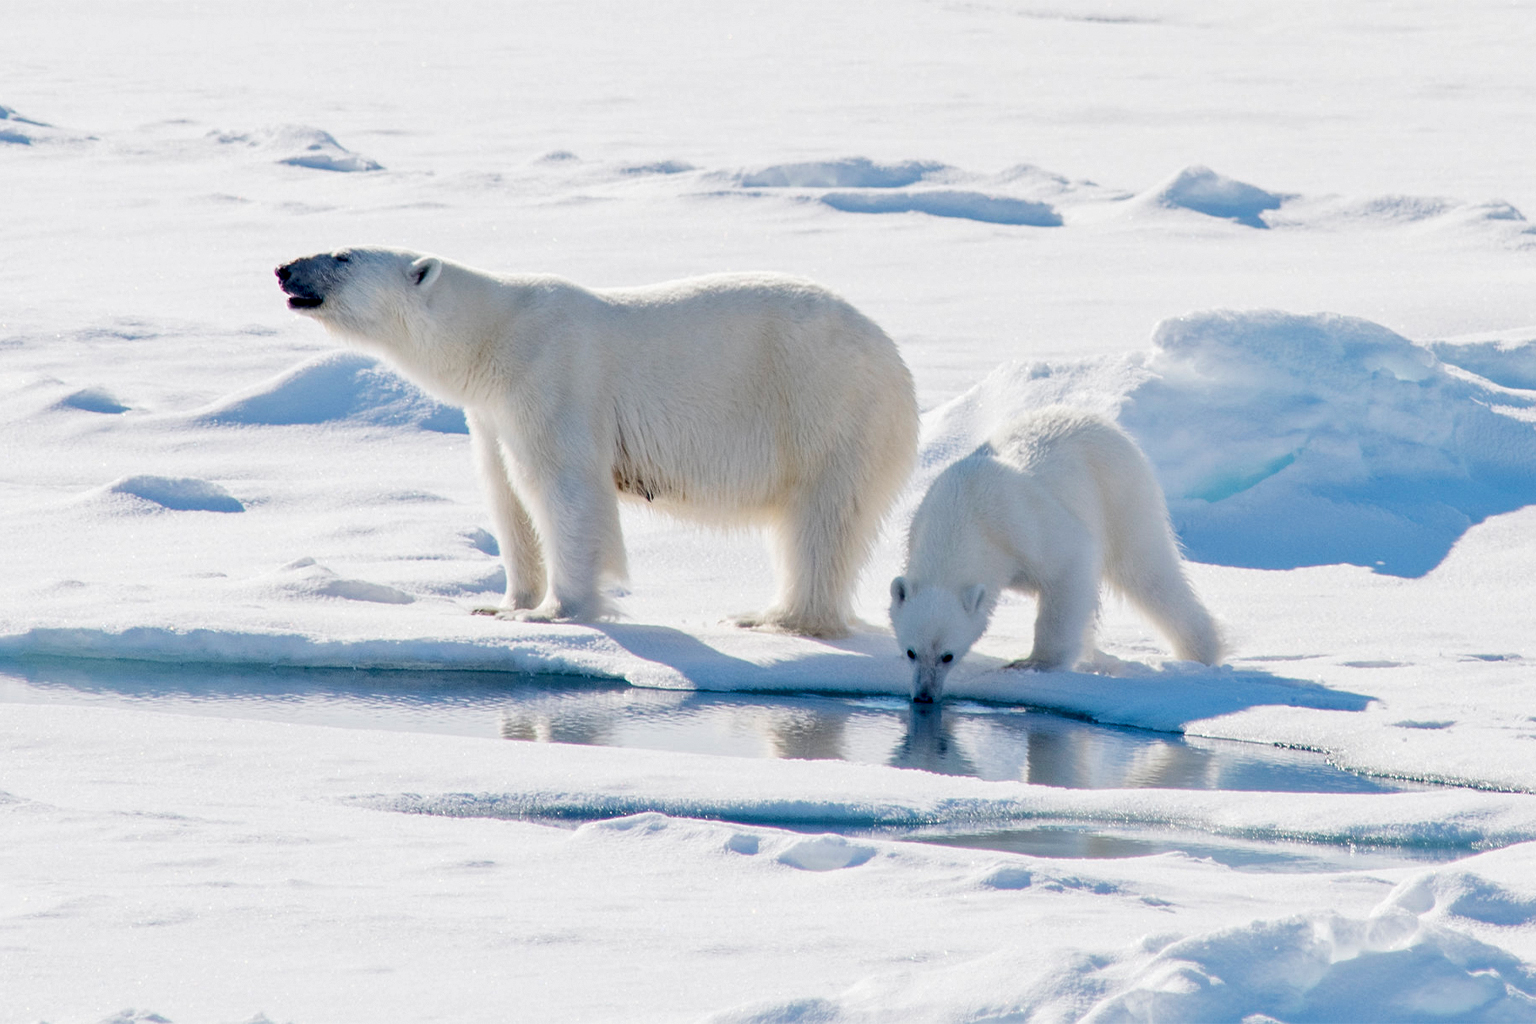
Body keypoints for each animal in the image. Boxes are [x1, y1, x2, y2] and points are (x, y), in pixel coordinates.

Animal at [276, 247, 915, 635]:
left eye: (343, 255)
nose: (283, 268)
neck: (493, 334)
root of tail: (896, 362)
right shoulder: (490, 413)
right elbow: (505, 496)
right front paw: (502, 603)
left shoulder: (551, 377)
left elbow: (562, 489)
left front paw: (554, 612)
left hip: (827, 409)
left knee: (820, 521)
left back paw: (772, 617)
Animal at [890, 408, 1222, 706]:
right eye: (910, 652)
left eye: (947, 656)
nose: (923, 696)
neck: (961, 512)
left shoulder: (1020, 527)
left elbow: (1068, 566)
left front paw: (1033, 663)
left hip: (1120, 493)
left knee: (1146, 570)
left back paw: (1202, 650)